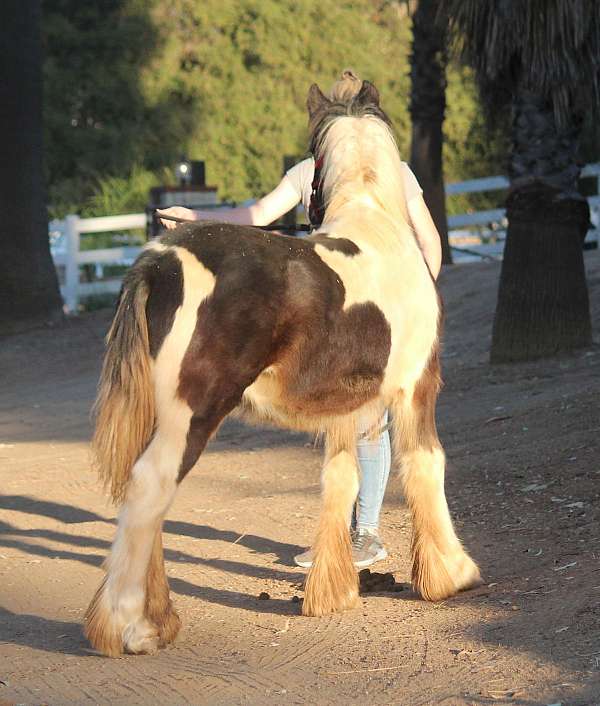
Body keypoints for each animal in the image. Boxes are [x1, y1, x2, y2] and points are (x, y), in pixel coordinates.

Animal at [84, 81, 480, 656]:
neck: (379, 227)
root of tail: (160, 261)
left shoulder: (348, 408)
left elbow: (341, 478)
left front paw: (333, 592)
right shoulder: (415, 391)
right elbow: (427, 465)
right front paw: (453, 574)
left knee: (149, 505)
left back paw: (156, 619)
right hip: (191, 415)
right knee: (149, 490)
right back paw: (131, 628)